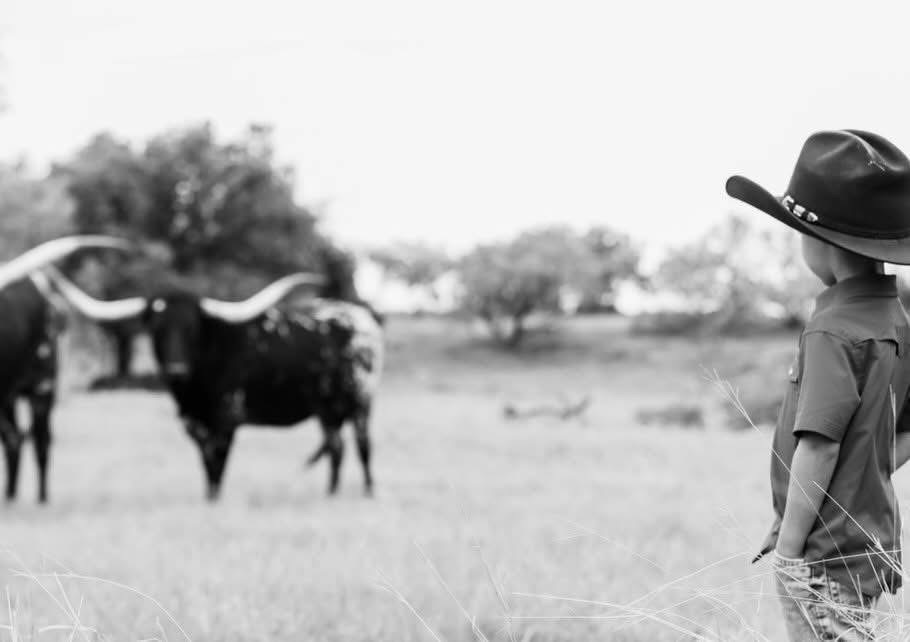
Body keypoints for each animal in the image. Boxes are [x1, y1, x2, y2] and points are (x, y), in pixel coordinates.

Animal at [47, 271, 385, 500]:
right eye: (157, 329)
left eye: (191, 328)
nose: (176, 370)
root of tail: (362, 317)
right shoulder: (194, 421)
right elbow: (205, 463)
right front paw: (208, 497)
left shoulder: (226, 417)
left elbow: (217, 463)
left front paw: (216, 499)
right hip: (327, 409)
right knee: (337, 448)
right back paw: (331, 493)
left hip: (361, 401)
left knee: (364, 446)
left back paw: (369, 491)